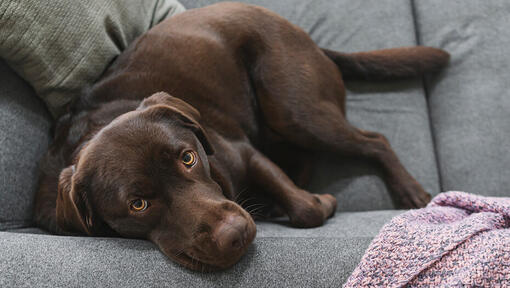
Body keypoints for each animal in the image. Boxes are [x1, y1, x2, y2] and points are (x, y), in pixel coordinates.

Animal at [33, 2, 448, 272]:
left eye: (188, 158)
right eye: (138, 204)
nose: (234, 234)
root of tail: (309, 40)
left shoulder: (244, 153)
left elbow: (307, 209)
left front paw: (319, 203)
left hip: (294, 110)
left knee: (374, 141)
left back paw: (410, 192)